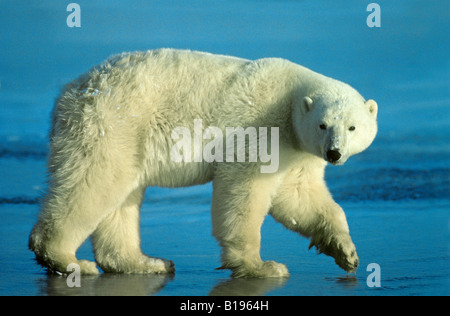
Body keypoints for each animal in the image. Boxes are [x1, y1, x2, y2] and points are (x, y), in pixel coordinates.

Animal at [29, 48, 378, 276]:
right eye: (323, 124)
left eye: (352, 127)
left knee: (121, 196)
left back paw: (146, 262)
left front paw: (346, 252)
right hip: (114, 123)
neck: (289, 99)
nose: (334, 153)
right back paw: (67, 260)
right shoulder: (261, 127)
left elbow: (299, 197)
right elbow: (244, 190)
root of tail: (70, 94)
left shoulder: (297, 152)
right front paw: (262, 266)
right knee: (94, 182)